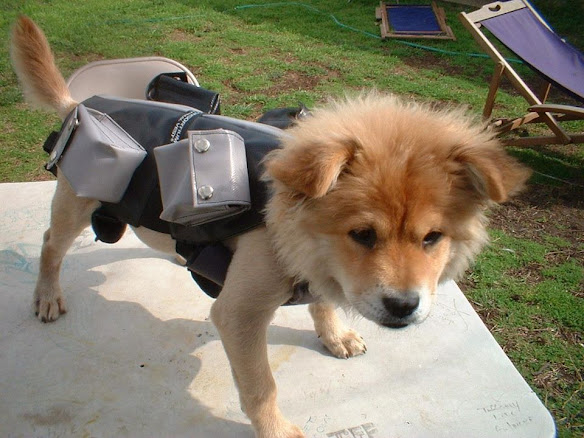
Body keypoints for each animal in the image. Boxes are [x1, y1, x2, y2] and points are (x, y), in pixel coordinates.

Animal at [10, 15, 528, 438]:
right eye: (362, 235)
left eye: (432, 238)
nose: (404, 307)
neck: (291, 228)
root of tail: (80, 103)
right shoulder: (237, 315)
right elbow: (262, 386)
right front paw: (277, 430)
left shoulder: (318, 274)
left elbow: (322, 303)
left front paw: (334, 334)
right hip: (76, 203)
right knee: (50, 244)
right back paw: (47, 295)